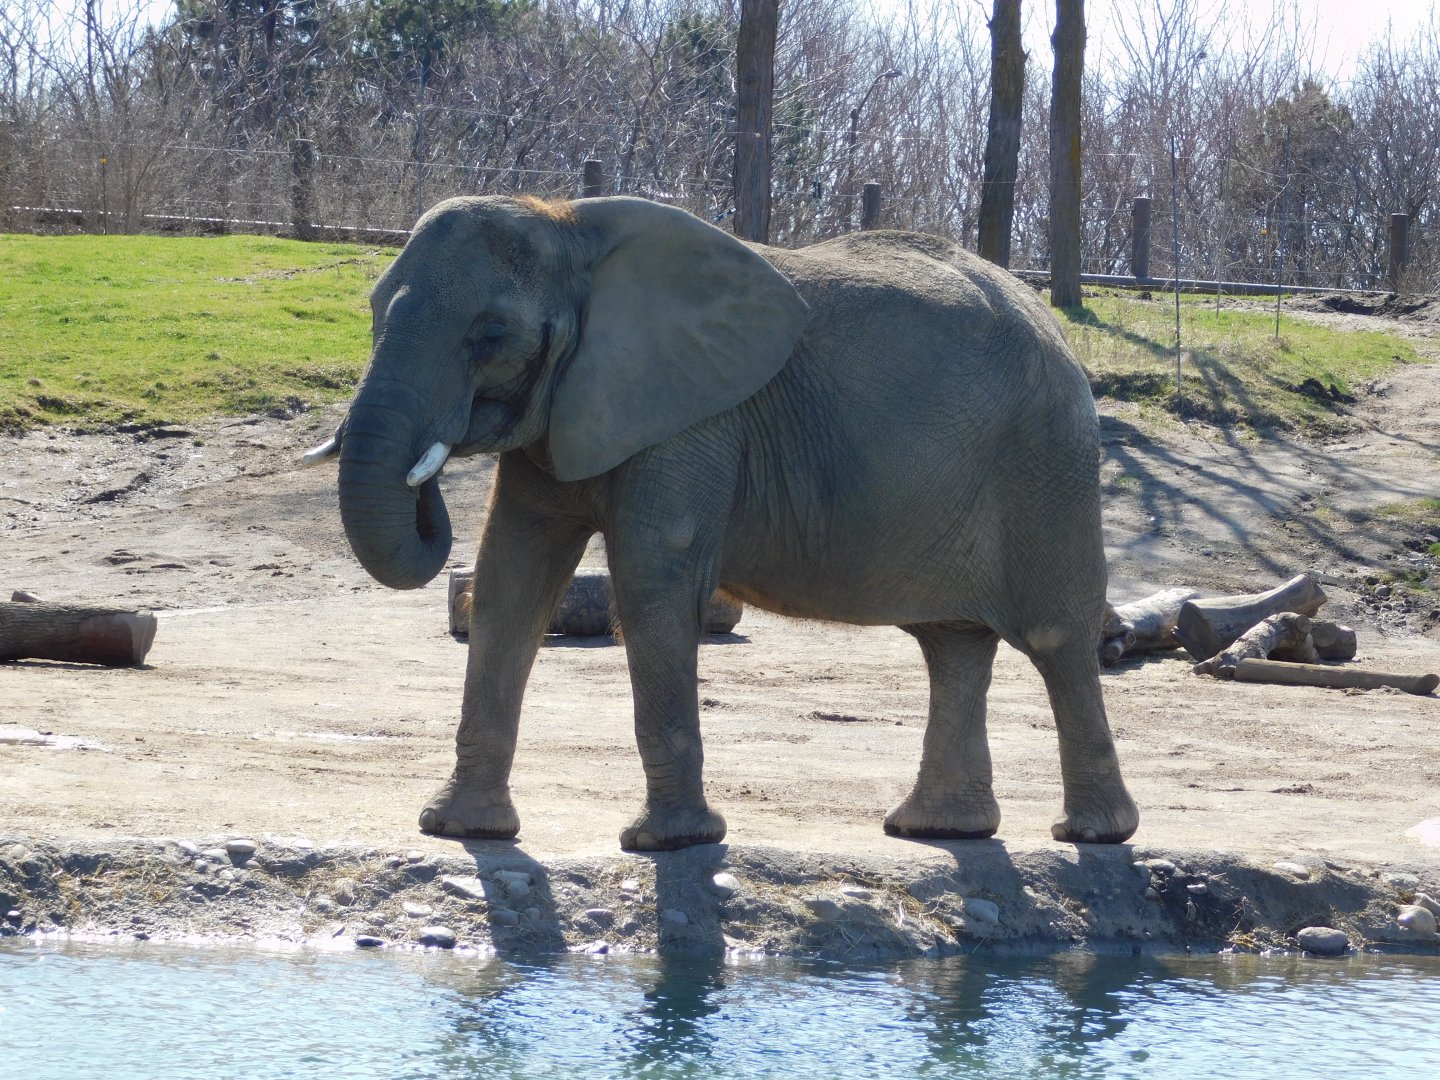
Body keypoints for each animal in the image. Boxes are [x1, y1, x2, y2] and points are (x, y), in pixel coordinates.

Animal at [305, 194, 1138, 851]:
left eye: (489, 335)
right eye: (373, 314)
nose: (430, 477)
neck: (570, 226)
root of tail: (1048, 317)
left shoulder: (695, 416)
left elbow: (651, 577)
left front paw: (666, 844)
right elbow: (513, 577)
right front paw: (459, 830)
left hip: (1047, 459)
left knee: (1056, 637)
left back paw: (1091, 834)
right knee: (952, 644)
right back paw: (934, 829)